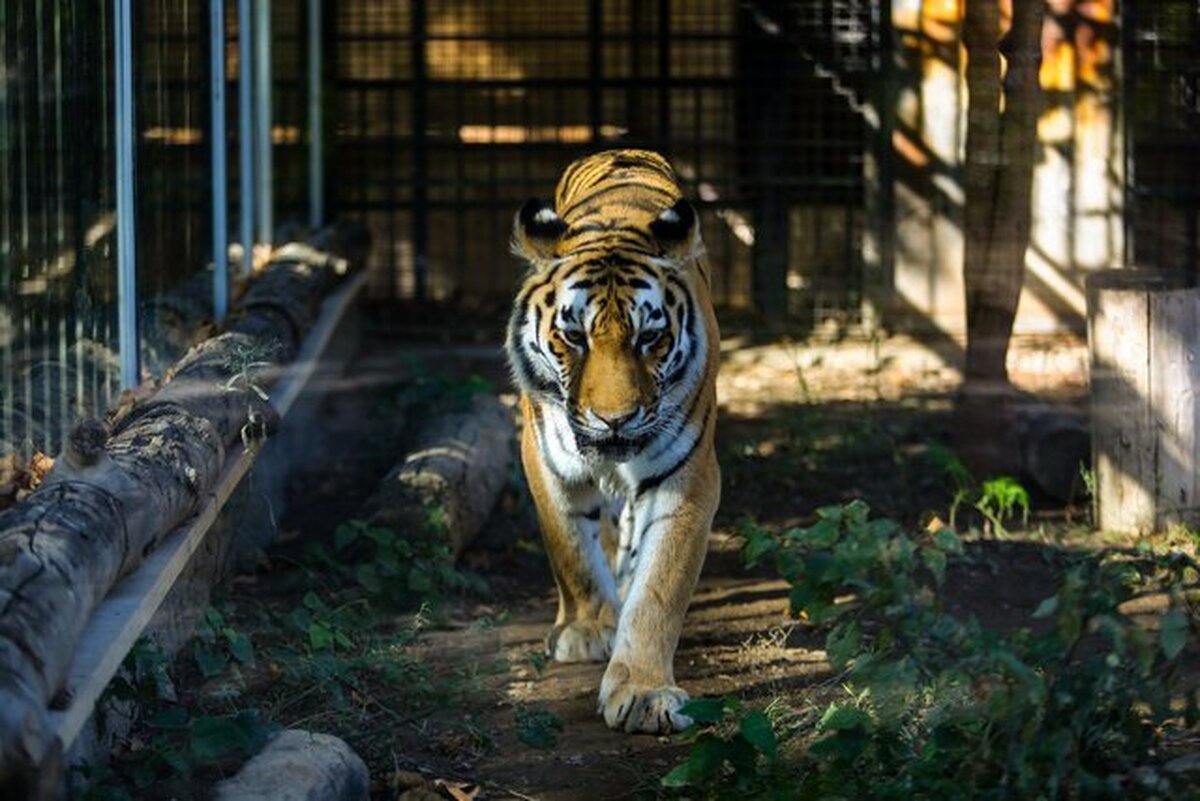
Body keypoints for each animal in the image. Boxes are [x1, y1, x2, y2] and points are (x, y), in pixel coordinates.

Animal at [501, 148, 715, 733]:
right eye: (574, 337)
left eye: (650, 338)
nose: (614, 419)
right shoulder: (545, 459)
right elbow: (571, 549)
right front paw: (588, 628)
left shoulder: (686, 477)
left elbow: (660, 586)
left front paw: (643, 692)